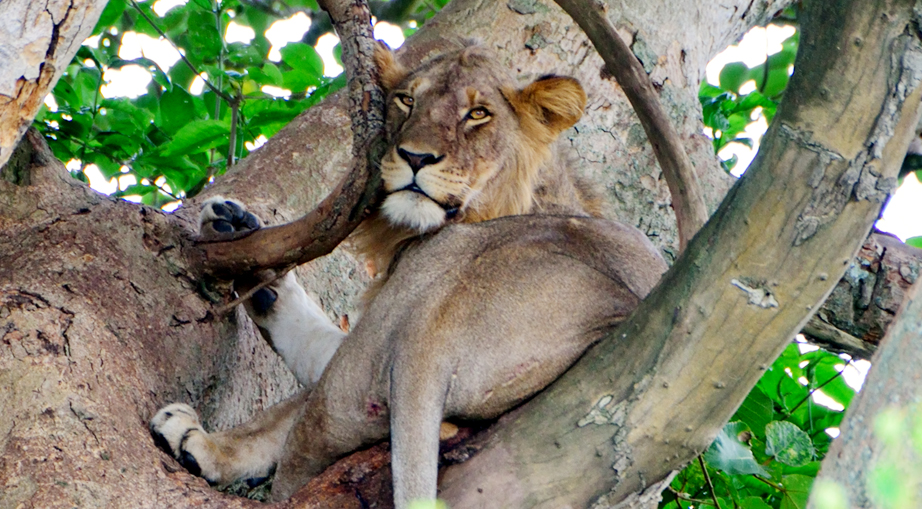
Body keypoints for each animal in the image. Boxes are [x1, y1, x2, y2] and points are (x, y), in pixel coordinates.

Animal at [153, 42, 668, 504]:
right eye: (406, 100)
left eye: (478, 114)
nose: (416, 157)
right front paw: (238, 235)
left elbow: (285, 406)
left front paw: (200, 442)